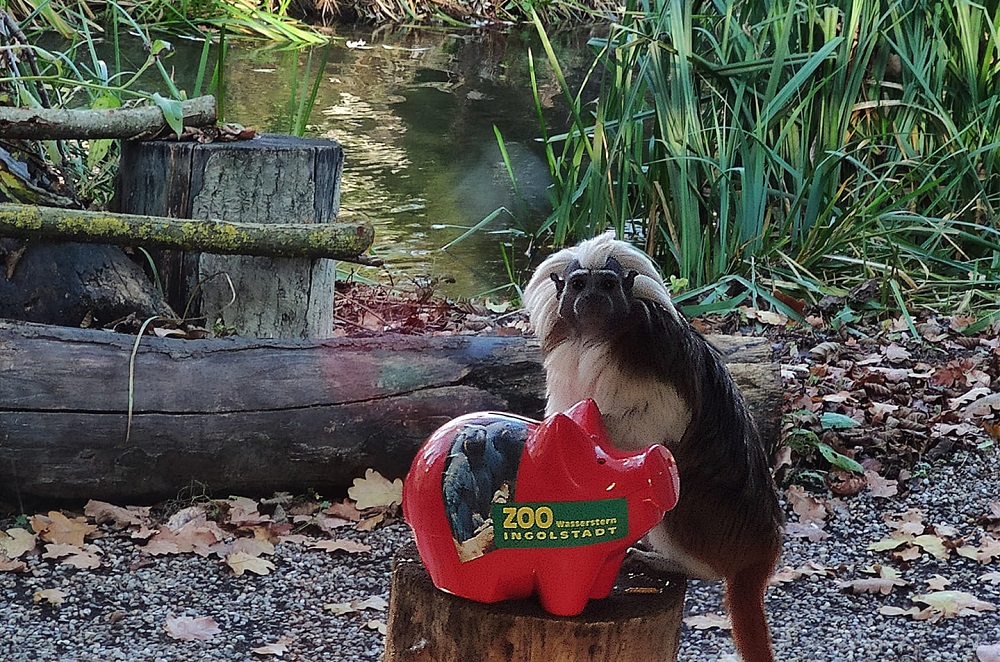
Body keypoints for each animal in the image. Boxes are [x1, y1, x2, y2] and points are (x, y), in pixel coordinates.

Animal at [520, 232, 784, 660]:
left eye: (607, 284)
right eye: (579, 284)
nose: (592, 297)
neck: (594, 338)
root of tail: (765, 545)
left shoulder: (651, 353)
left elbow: (656, 422)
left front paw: (589, 439)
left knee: (673, 487)